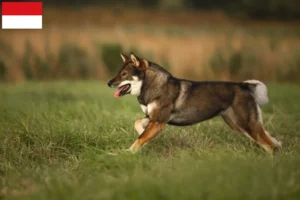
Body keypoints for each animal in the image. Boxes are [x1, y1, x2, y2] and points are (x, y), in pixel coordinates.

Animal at [107, 52, 282, 153]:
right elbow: (138, 125)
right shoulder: (153, 118)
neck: (152, 85)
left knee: (270, 145)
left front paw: (128, 152)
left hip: (246, 125)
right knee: (271, 141)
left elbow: (140, 138)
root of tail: (244, 86)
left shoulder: (158, 121)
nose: (109, 83)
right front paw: (144, 135)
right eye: (118, 72)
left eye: (124, 74)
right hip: (239, 125)